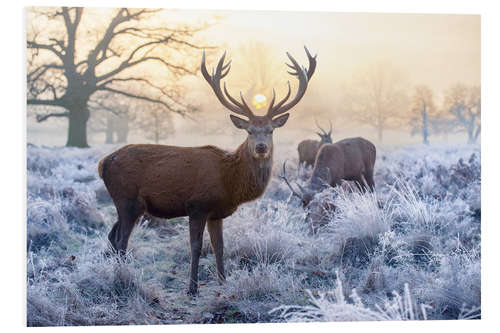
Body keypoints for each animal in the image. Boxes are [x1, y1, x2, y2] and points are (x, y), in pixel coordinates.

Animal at [97, 46, 316, 294]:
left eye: (270, 130)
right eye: (249, 131)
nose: (261, 147)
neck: (229, 182)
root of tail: (103, 164)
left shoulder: (216, 213)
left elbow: (218, 246)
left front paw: (223, 281)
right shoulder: (197, 205)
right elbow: (196, 246)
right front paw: (192, 288)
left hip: (127, 204)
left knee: (112, 236)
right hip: (127, 199)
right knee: (121, 240)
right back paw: (124, 278)